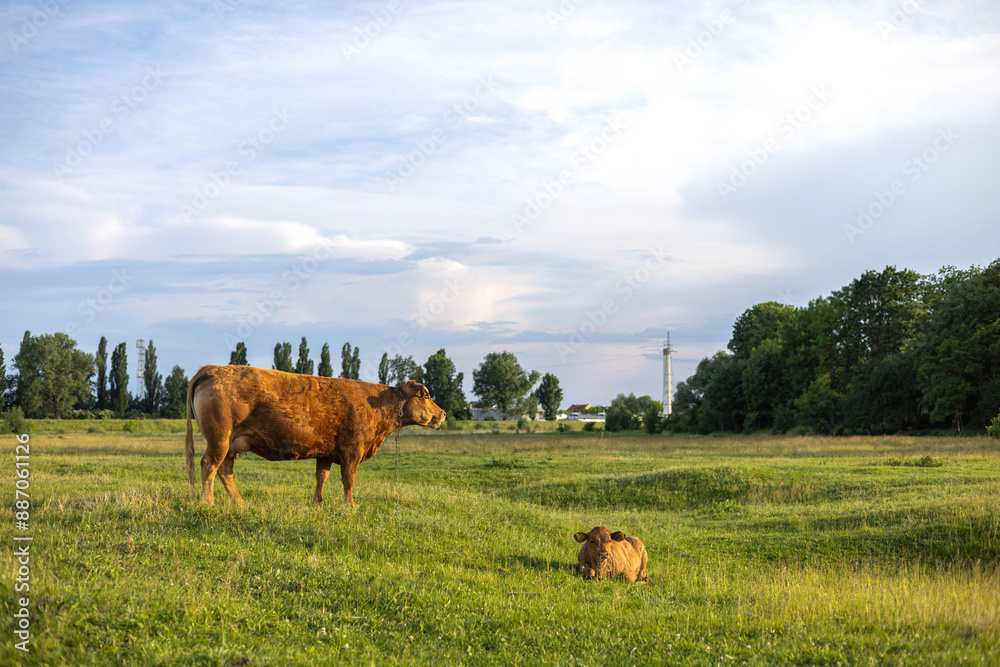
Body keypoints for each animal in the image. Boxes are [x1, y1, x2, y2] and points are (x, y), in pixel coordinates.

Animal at [184, 364, 446, 508]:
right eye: (425, 396)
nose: (443, 413)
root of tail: (211, 368)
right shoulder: (352, 450)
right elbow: (348, 480)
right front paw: (351, 507)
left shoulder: (327, 452)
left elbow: (322, 477)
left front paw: (317, 503)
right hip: (219, 438)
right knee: (209, 465)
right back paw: (209, 502)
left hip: (231, 444)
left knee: (224, 471)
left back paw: (240, 504)